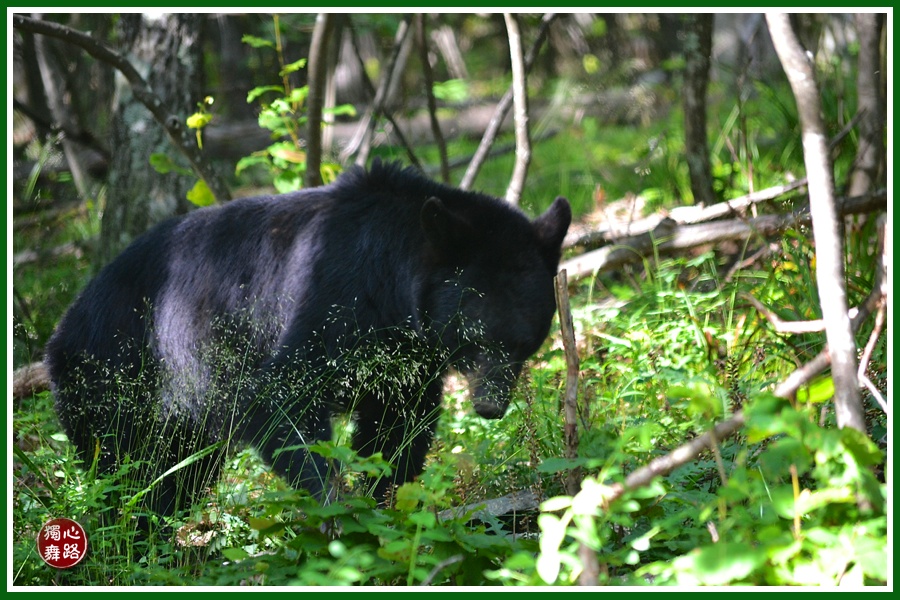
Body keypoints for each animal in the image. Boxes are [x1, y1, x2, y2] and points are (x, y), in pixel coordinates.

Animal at [45, 159, 568, 516]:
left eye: (526, 341)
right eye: (475, 337)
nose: (491, 405)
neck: (393, 287)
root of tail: (62, 326)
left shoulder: (406, 357)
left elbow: (398, 425)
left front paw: (386, 500)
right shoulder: (334, 295)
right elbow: (281, 397)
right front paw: (339, 508)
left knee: (178, 473)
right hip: (119, 376)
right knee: (129, 471)